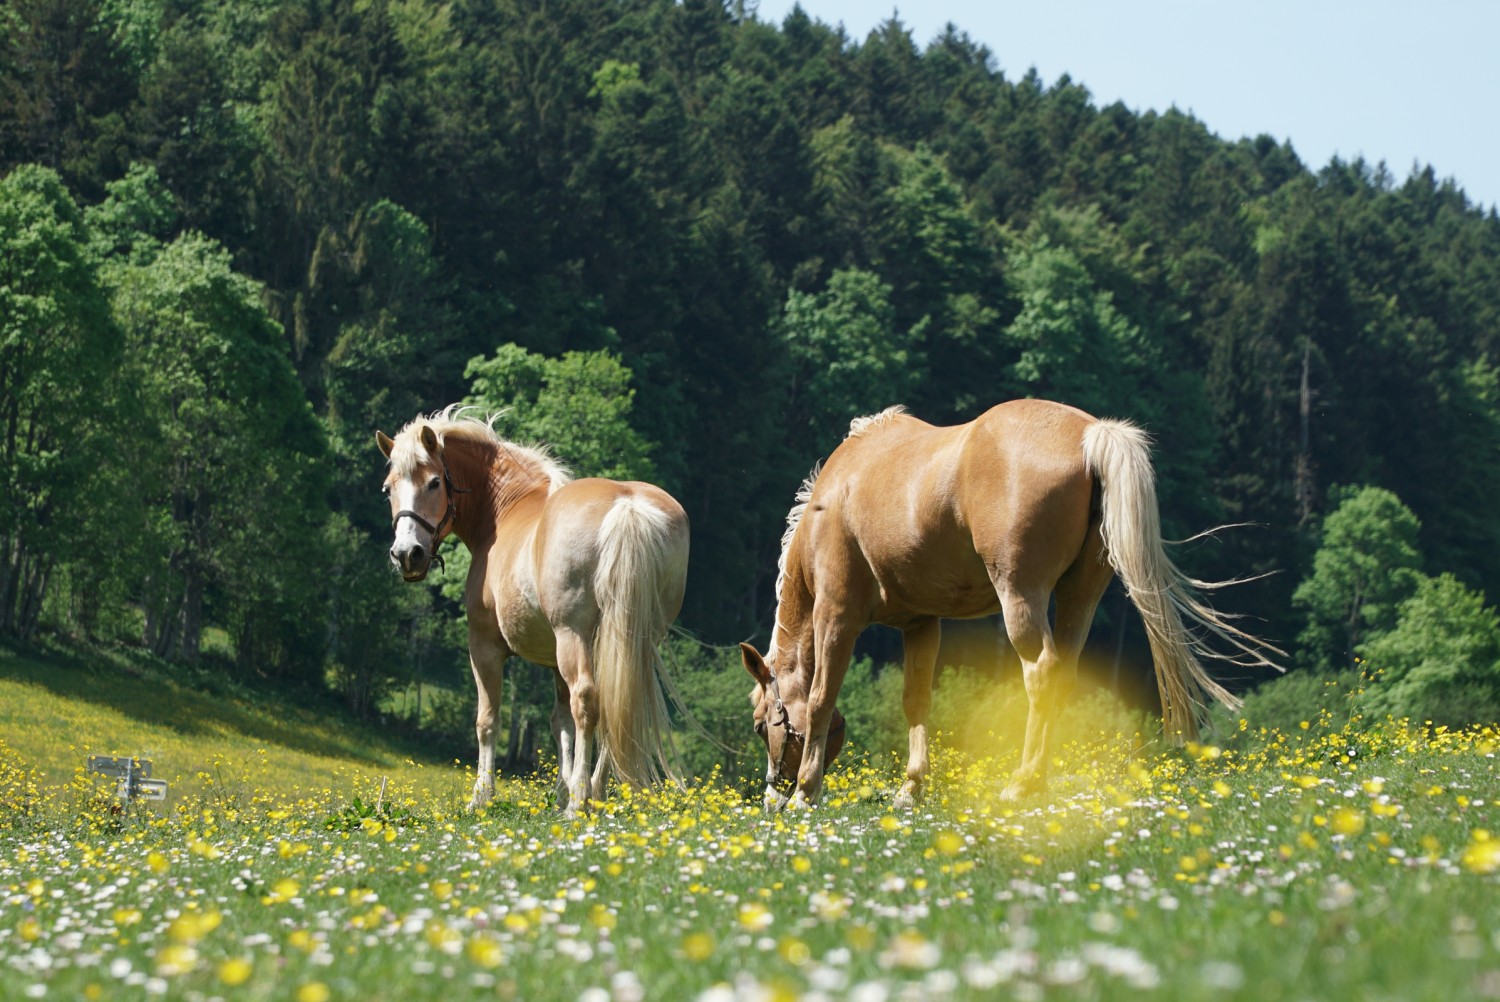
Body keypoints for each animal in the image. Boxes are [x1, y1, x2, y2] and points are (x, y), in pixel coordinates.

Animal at [375, 408, 687, 816]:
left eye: (433, 483)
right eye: (388, 488)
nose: (406, 554)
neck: (507, 507)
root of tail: (626, 504)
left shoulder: (485, 647)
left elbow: (488, 719)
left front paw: (482, 795)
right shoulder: (556, 661)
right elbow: (560, 723)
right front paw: (564, 788)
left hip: (574, 637)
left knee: (588, 700)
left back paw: (579, 801)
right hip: (630, 642)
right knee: (617, 706)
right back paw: (594, 792)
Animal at [738, 396, 1278, 810]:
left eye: (761, 724)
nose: (772, 797)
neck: (832, 501)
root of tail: (1090, 435)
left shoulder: (836, 617)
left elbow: (821, 698)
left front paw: (806, 792)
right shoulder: (921, 624)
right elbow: (916, 700)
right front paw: (911, 788)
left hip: (1020, 595)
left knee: (1041, 672)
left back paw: (1022, 784)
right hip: (1080, 594)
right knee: (1063, 674)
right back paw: (1037, 780)